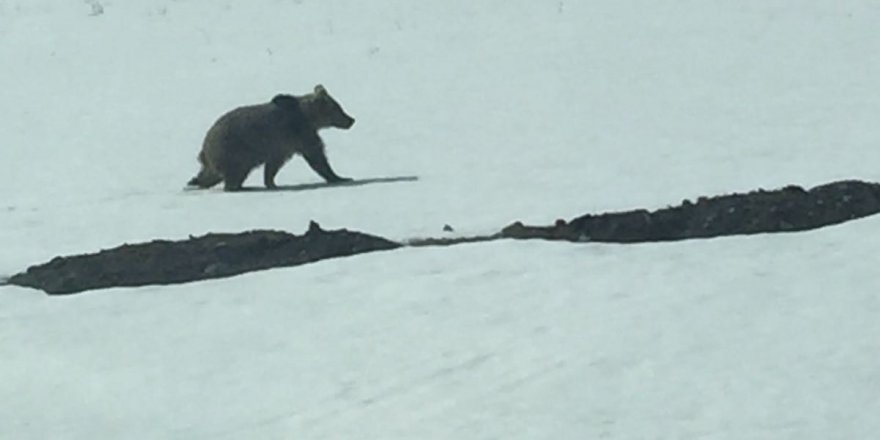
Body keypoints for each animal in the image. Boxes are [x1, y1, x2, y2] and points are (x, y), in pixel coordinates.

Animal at [188, 84, 354, 191]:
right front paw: (339, 177)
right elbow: (316, 156)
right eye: (338, 108)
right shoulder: (299, 133)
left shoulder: (281, 146)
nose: (351, 120)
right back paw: (242, 187)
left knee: (210, 174)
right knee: (234, 174)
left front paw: (271, 182)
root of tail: (205, 146)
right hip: (234, 150)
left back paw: (195, 181)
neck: (309, 117)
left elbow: (273, 165)